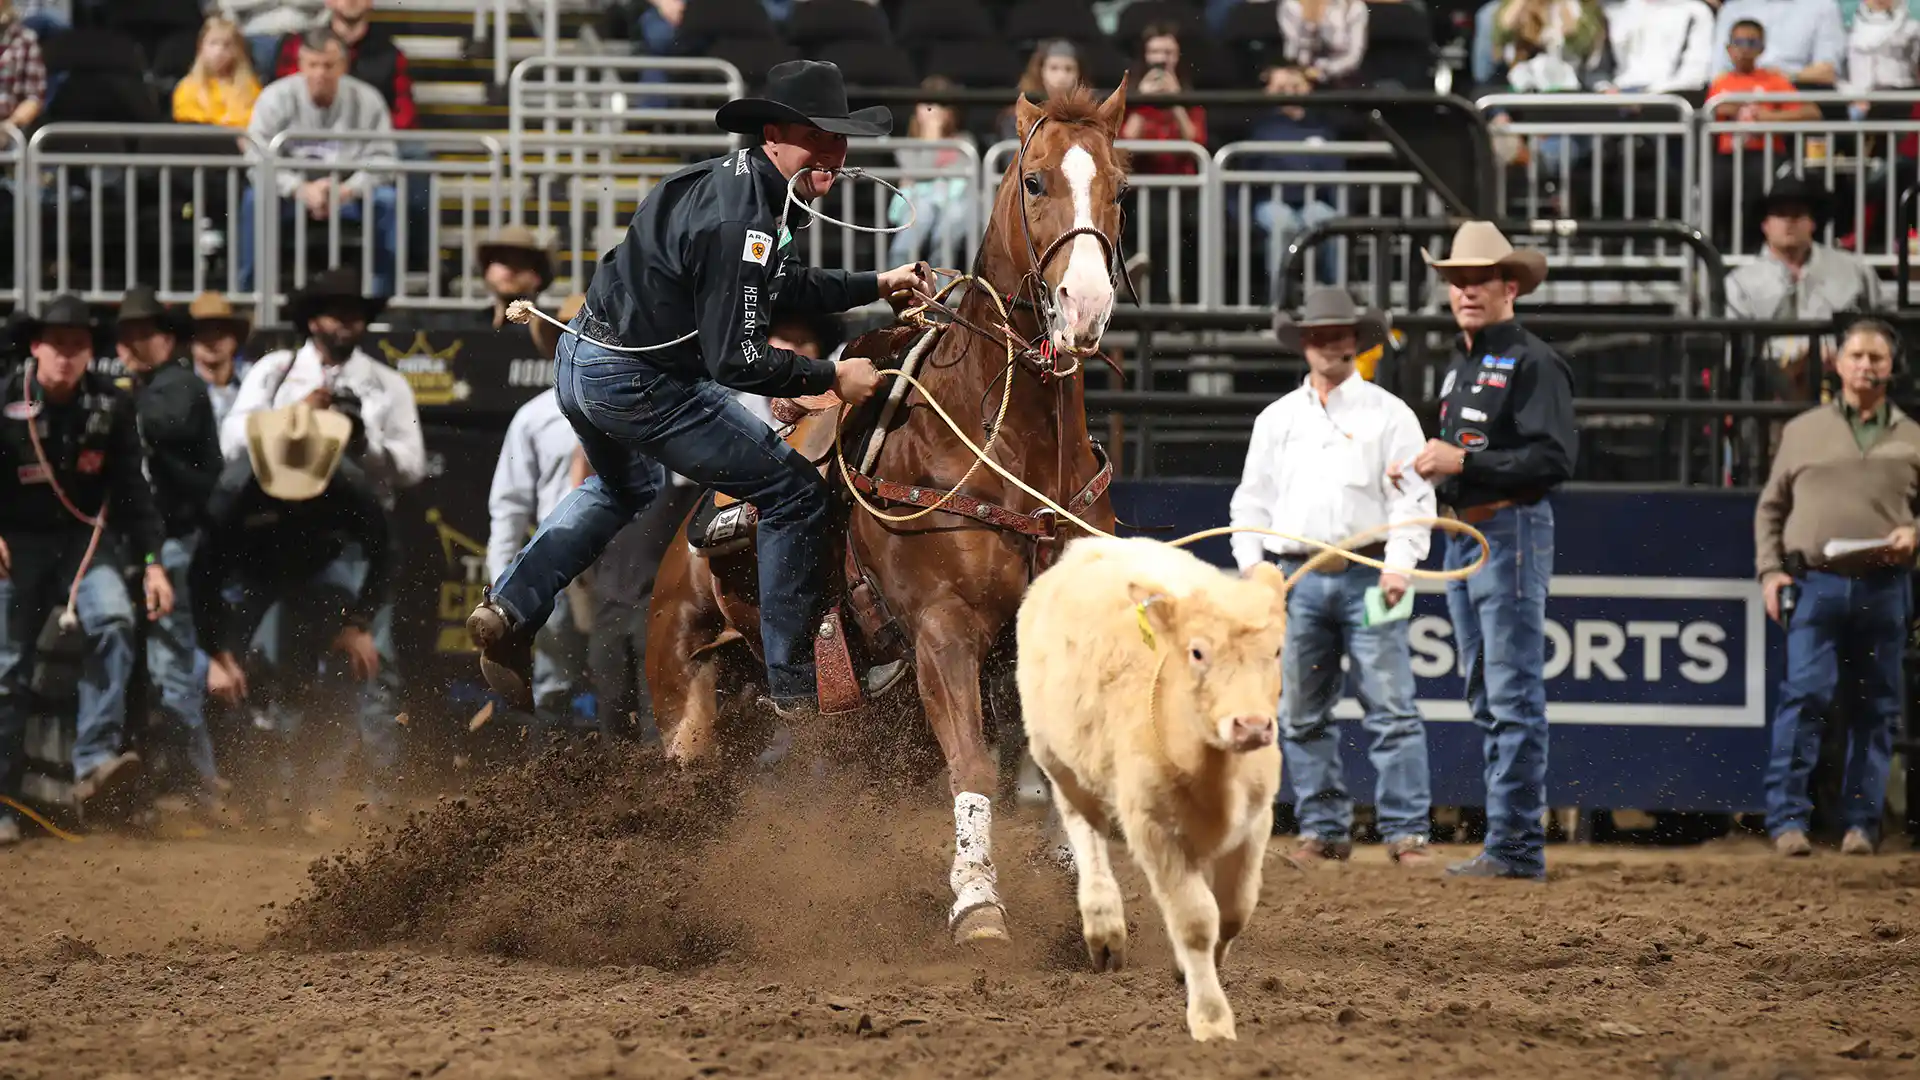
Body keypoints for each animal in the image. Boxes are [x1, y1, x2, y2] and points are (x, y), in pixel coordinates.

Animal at [648, 85, 1121, 941]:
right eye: (1035, 180)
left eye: (1122, 188)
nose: (1086, 305)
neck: (1010, 449)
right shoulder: (941, 633)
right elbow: (972, 763)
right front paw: (977, 902)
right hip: (686, 693)